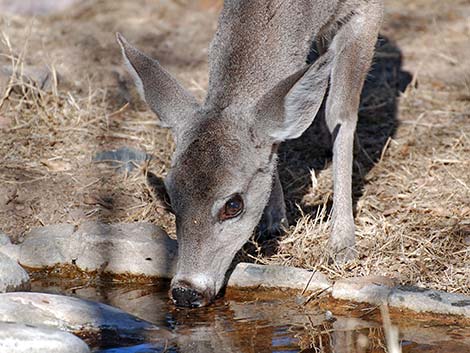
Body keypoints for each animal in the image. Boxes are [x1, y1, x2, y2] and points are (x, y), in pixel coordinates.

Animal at [116, 0, 382, 306]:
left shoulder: (365, 11)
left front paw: (342, 245)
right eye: (170, 196)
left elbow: (340, 112)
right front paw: (275, 222)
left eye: (233, 205)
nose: (186, 291)